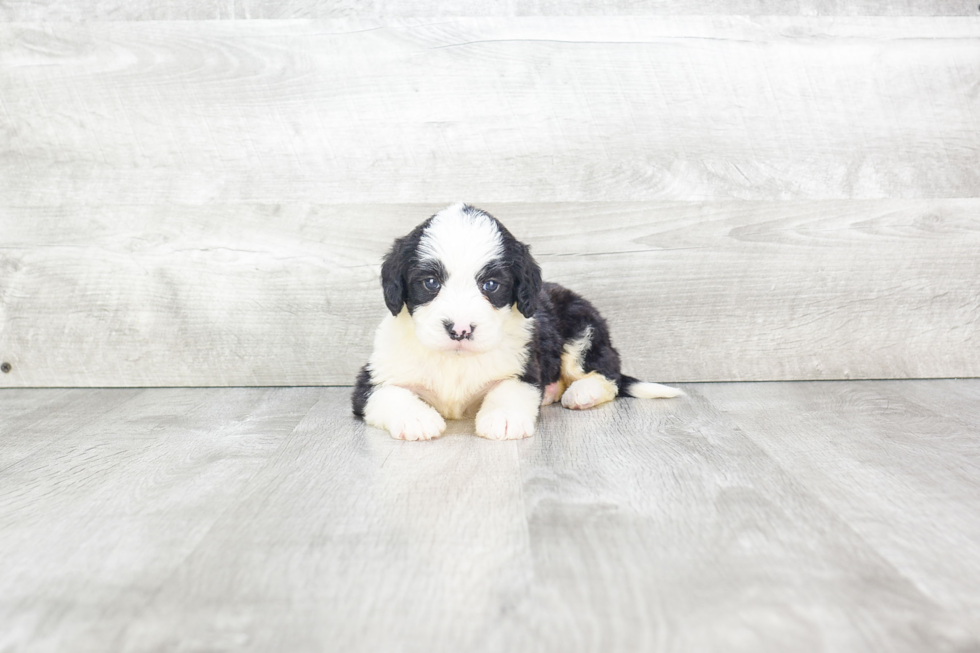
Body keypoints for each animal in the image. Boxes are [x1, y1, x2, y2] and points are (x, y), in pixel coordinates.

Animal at [352, 201, 680, 440]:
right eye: (430, 282)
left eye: (491, 285)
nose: (460, 330)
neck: (455, 361)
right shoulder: (372, 380)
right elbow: (390, 394)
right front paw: (417, 418)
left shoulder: (522, 369)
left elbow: (508, 390)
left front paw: (504, 418)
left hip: (581, 330)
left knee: (608, 371)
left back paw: (581, 392)